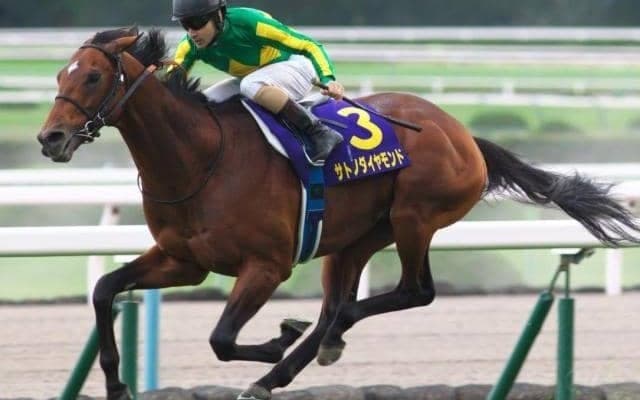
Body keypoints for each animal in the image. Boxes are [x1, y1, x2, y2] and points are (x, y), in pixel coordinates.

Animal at [37, 27, 640, 400]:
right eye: (60, 75)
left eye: (92, 77)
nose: (51, 138)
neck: (200, 159)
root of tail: (464, 134)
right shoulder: (183, 261)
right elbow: (105, 290)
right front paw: (116, 384)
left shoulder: (267, 266)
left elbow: (222, 339)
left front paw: (277, 337)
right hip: (354, 238)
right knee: (338, 304)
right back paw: (292, 363)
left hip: (415, 217)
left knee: (409, 293)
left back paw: (308, 346)